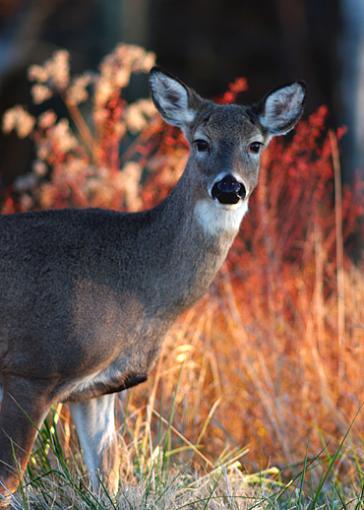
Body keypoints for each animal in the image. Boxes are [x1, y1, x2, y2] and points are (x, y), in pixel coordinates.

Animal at [0, 68, 306, 506]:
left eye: (255, 145)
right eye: (200, 142)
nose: (229, 188)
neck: (139, 288)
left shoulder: (97, 388)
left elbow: (106, 476)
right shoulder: (33, 365)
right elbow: (8, 480)